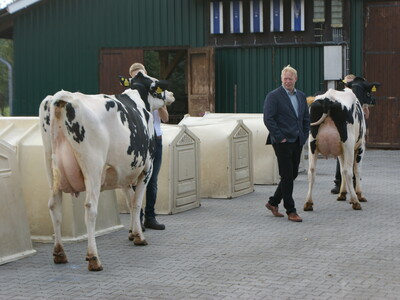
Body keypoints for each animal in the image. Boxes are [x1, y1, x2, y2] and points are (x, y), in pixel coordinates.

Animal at [38, 72, 173, 272]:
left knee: (54, 207)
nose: (170, 95)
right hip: (93, 166)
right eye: (158, 87)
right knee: (90, 208)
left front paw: (132, 233)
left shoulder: (123, 172)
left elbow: (129, 200)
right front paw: (139, 237)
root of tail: (63, 97)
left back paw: (59, 253)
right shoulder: (146, 168)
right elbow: (136, 202)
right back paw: (94, 258)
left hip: (50, 166)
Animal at [304, 78, 380, 212]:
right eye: (368, 92)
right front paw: (359, 194)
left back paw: (308, 203)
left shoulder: (340, 150)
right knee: (347, 171)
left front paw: (342, 193)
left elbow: (340, 167)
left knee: (312, 171)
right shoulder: (360, 146)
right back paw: (355, 201)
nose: (374, 101)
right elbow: (356, 170)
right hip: (348, 143)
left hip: (312, 143)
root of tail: (328, 98)